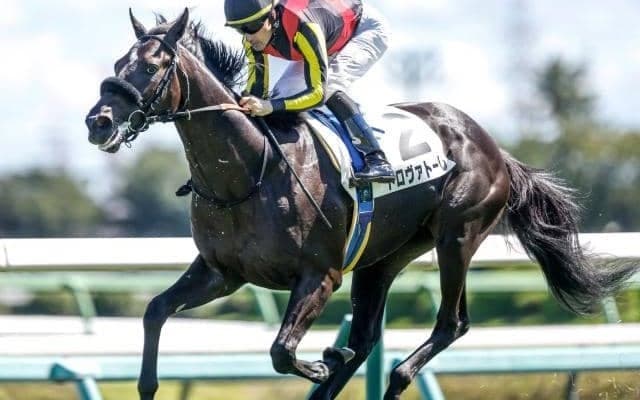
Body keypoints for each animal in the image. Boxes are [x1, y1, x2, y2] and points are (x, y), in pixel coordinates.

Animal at [85, 9, 638, 400]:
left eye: (152, 65)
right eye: (116, 65)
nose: (99, 122)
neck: (251, 169)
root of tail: (493, 146)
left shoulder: (320, 274)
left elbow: (282, 351)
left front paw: (317, 362)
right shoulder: (223, 272)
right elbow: (155, 311)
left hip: (457, 235)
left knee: (451, 323)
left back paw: (392, 375)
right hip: (383, 258)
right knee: (368, 337)